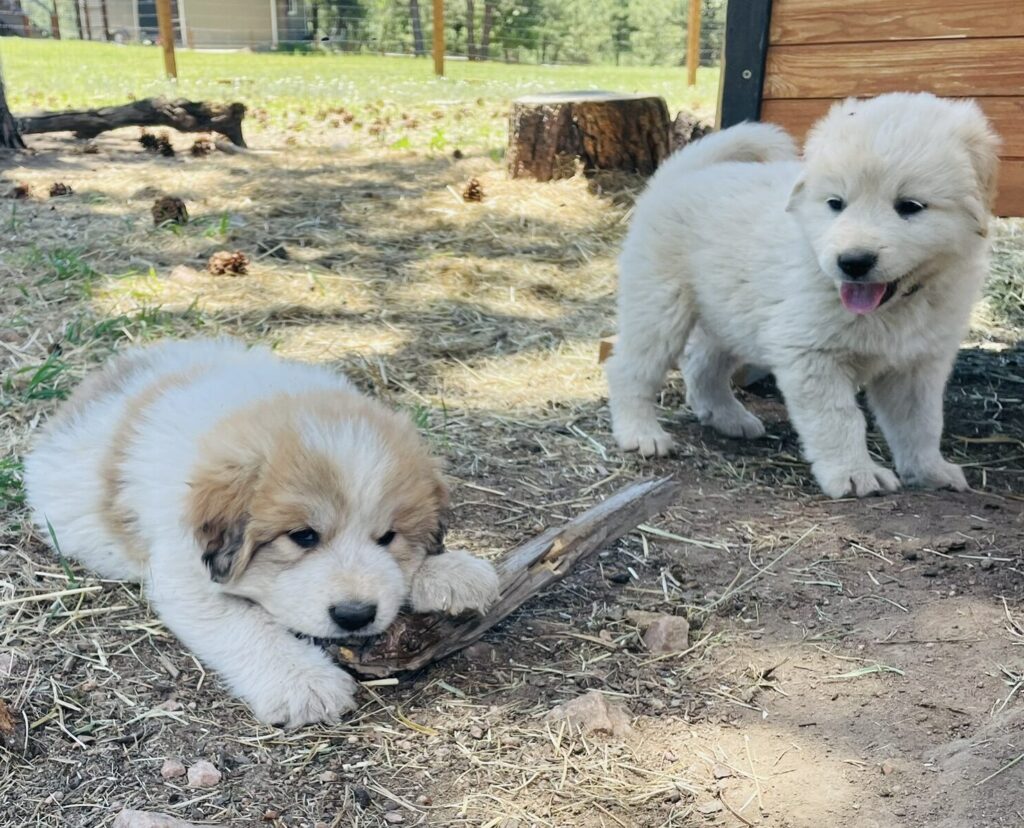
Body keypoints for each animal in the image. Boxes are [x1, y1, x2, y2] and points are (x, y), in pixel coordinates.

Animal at [24, 335, 499, 724]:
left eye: (387, 537)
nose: (355, 616)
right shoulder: (187, 575)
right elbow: (247, 625)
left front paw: (451, 573)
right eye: (303, 537)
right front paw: (303, 681)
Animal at [606, 94, 999, 501]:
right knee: (630, 370)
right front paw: (855, 474)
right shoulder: (812, 355)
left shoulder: (917, 364)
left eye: (909, 206)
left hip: (732, 315)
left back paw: (729, 418)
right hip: (659, 307)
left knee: (702, 365)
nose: (852, 262)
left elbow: (921, 423)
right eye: (836, 203)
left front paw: (929, 470)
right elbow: (840, 420)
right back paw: (641, 433)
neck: (895, 306)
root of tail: (684, 174)